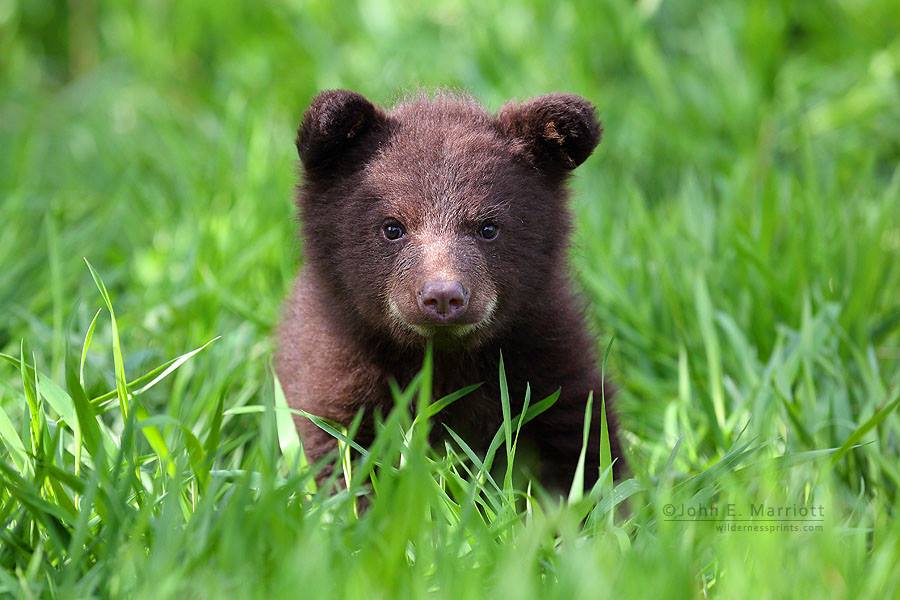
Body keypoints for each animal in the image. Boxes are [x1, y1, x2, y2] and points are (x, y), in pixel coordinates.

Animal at [276, 89, 625, 493]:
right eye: (392, 227)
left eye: (488, 228)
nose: (443, 296)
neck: (441, 357)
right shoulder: (336, 369)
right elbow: (345, 457)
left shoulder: (546, 357)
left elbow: (580, 447)